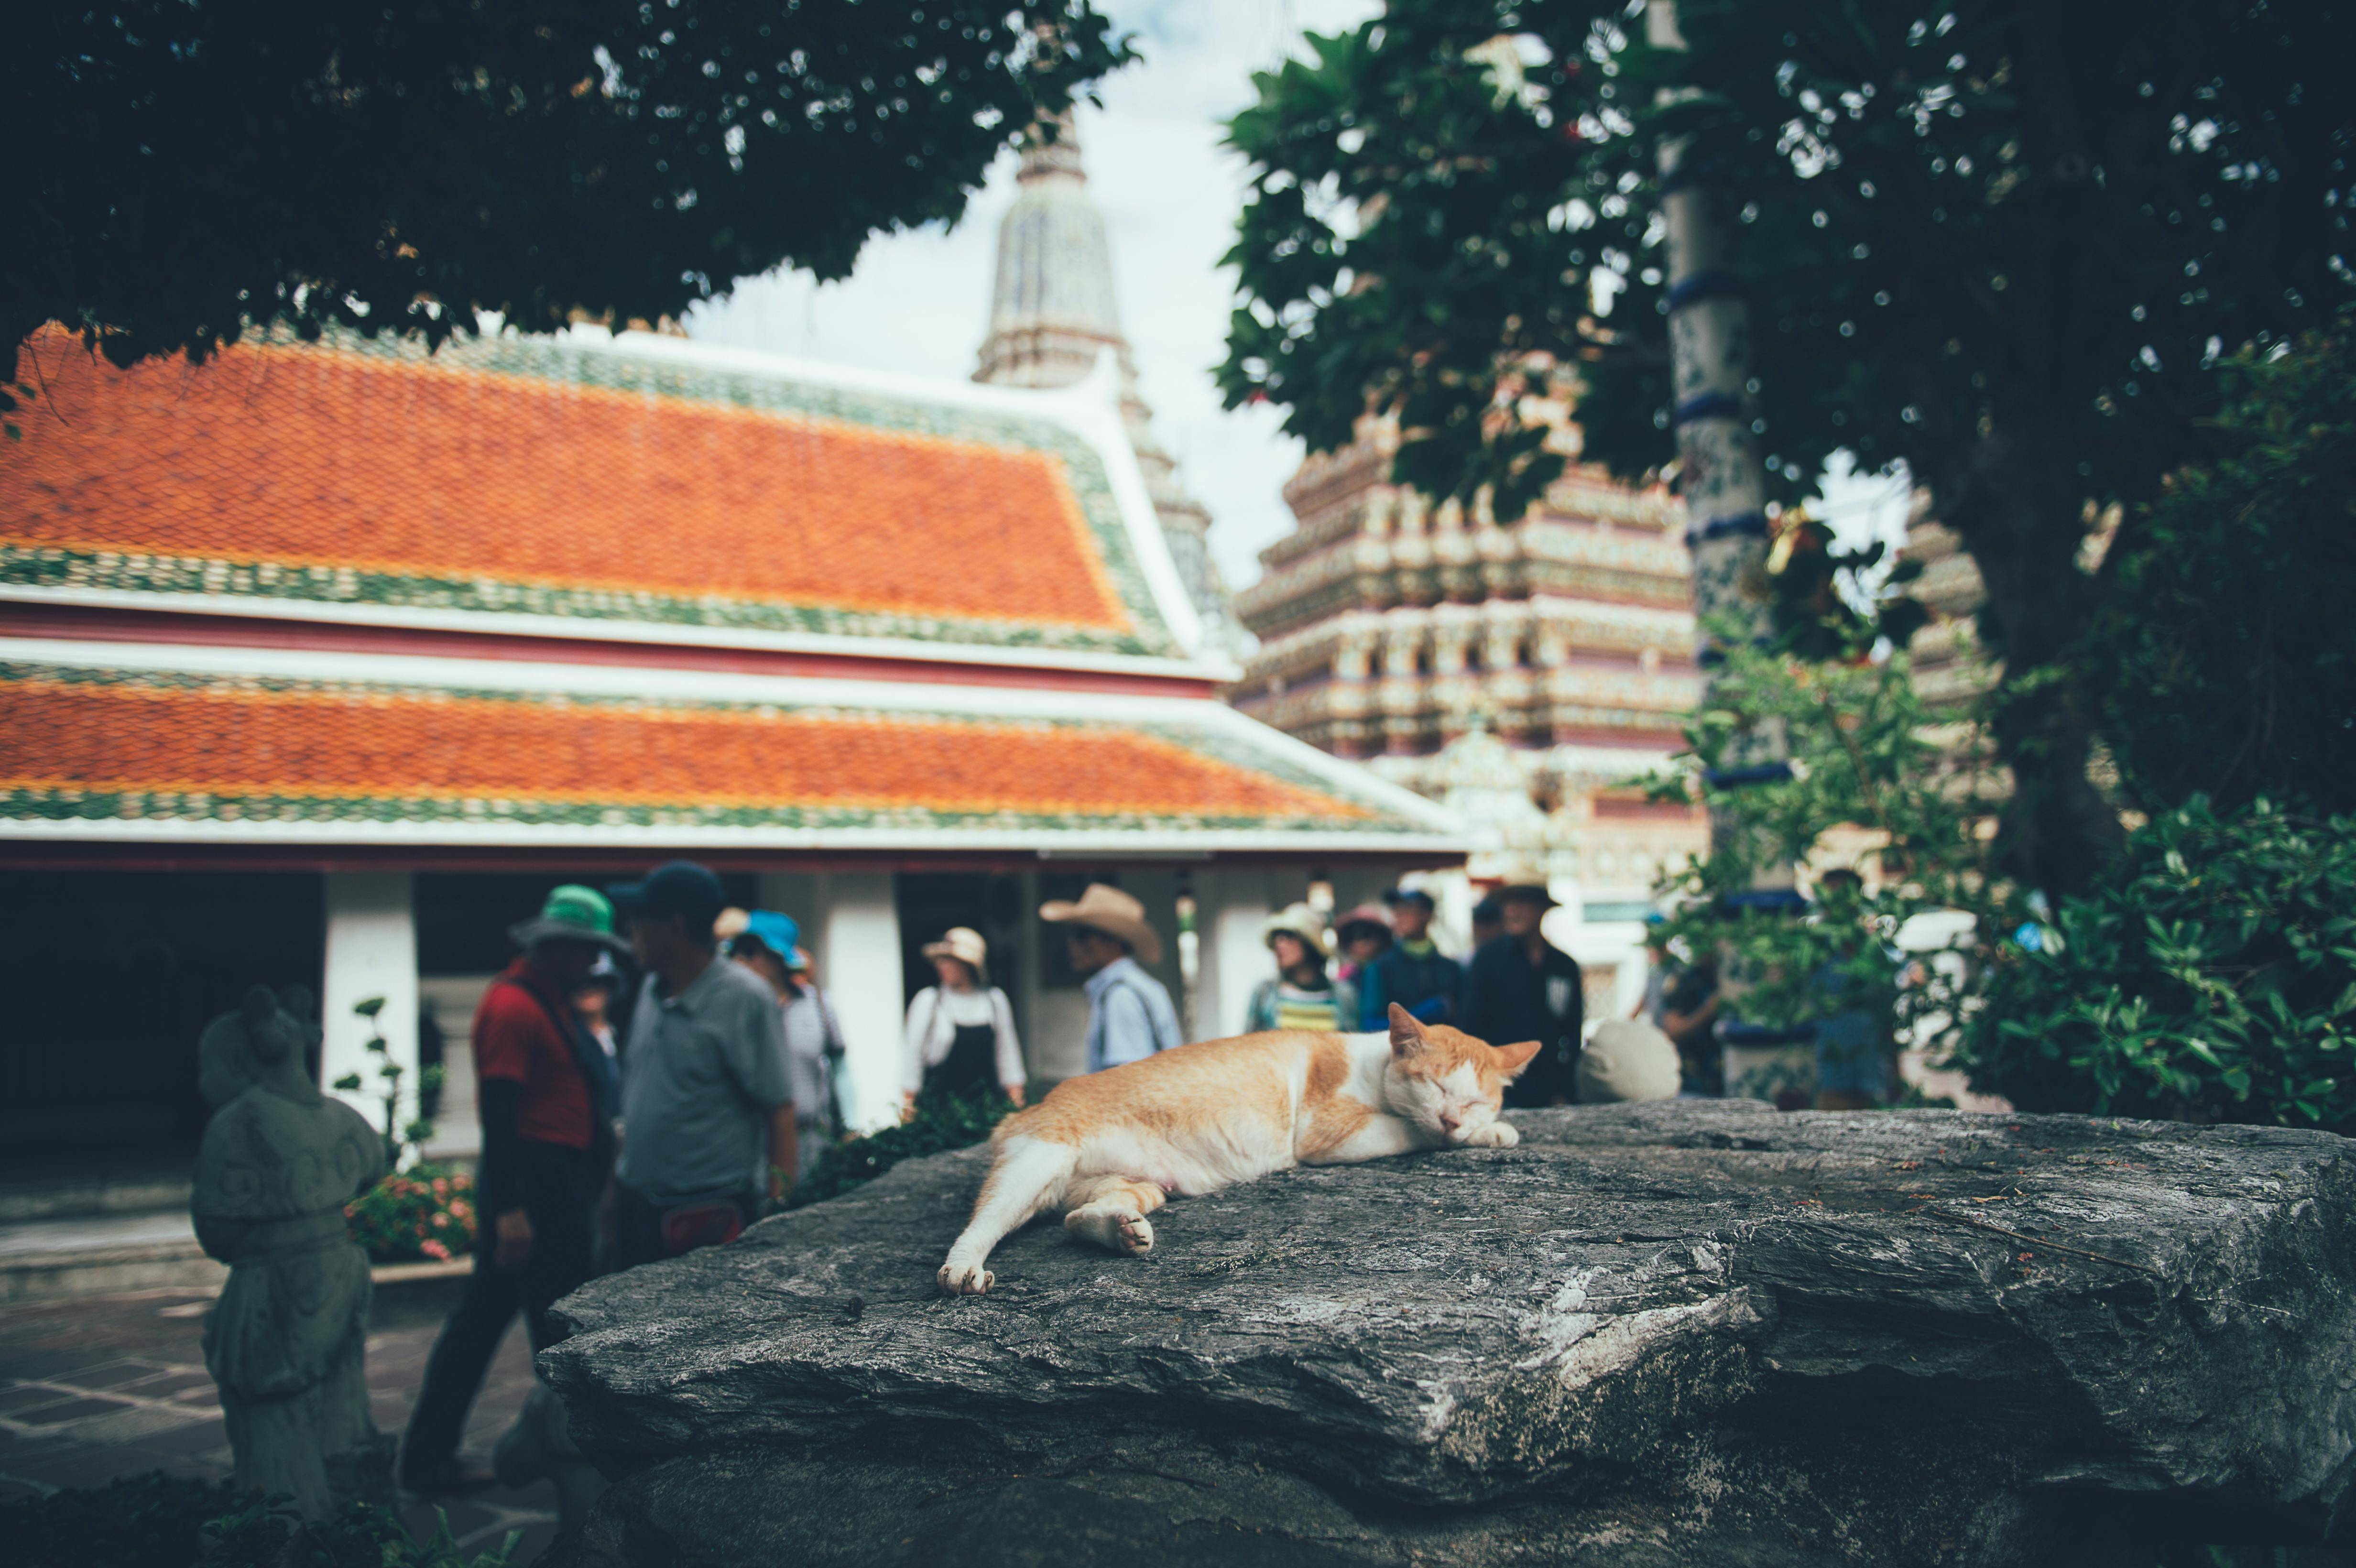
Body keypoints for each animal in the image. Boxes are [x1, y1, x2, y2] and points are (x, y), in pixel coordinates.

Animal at [938, 1007, 1545, 1290]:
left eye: (1474, 1099)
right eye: (1436, 1087)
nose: (1453, 1117)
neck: (1373, 1063)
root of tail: (1023, 1109)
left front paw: (1487, 1131)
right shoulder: (1326, 1131)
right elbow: (1412, 1128)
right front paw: (1463, 1133)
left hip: (1136, 1185)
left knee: (1076, 1216)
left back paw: (1119, 1231)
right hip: (1038, 1160)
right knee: (982, 1224)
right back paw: (963, 1267)